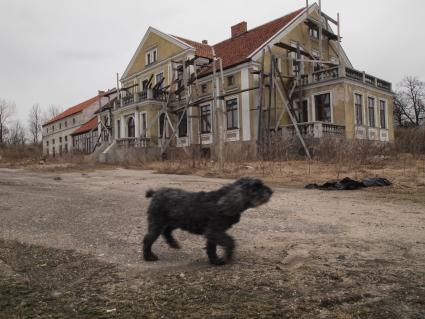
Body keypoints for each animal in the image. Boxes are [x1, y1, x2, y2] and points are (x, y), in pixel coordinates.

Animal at [143, 179, 272, 266]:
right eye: (256, 187)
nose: (271, 191)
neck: (223, 202)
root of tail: (156, 193)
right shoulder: (214, 232)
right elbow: (230, 242)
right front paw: (226, 257)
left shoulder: (213, 235)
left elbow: (211, 248)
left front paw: (215, 261)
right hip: (157, 224)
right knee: (148, 239)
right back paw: (148, 256)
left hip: (173, 222)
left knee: (166, 232)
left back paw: (173, 244)